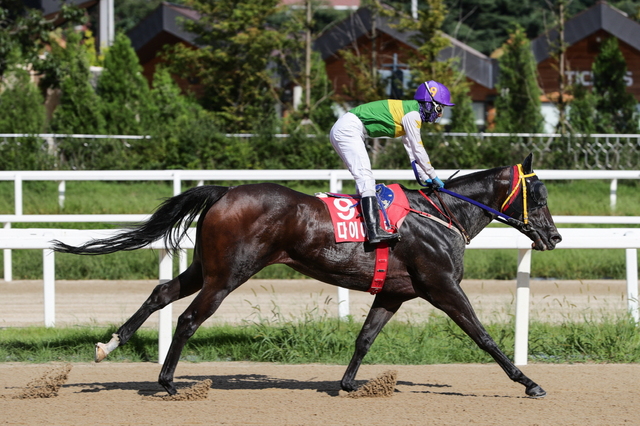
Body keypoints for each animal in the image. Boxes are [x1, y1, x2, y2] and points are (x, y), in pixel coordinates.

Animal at [53, 155, 560, 398]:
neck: (441, 216)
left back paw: (109, 345)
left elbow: (365, 337)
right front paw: (528, 382)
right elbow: (484, 336)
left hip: (206, 266)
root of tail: (225, 192)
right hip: (229, 274)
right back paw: (168, 382)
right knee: (189, 319)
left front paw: (349, 384)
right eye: (538, 195)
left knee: (161, 293)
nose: (553, 236)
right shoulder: (442, 287)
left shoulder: (395, 293)